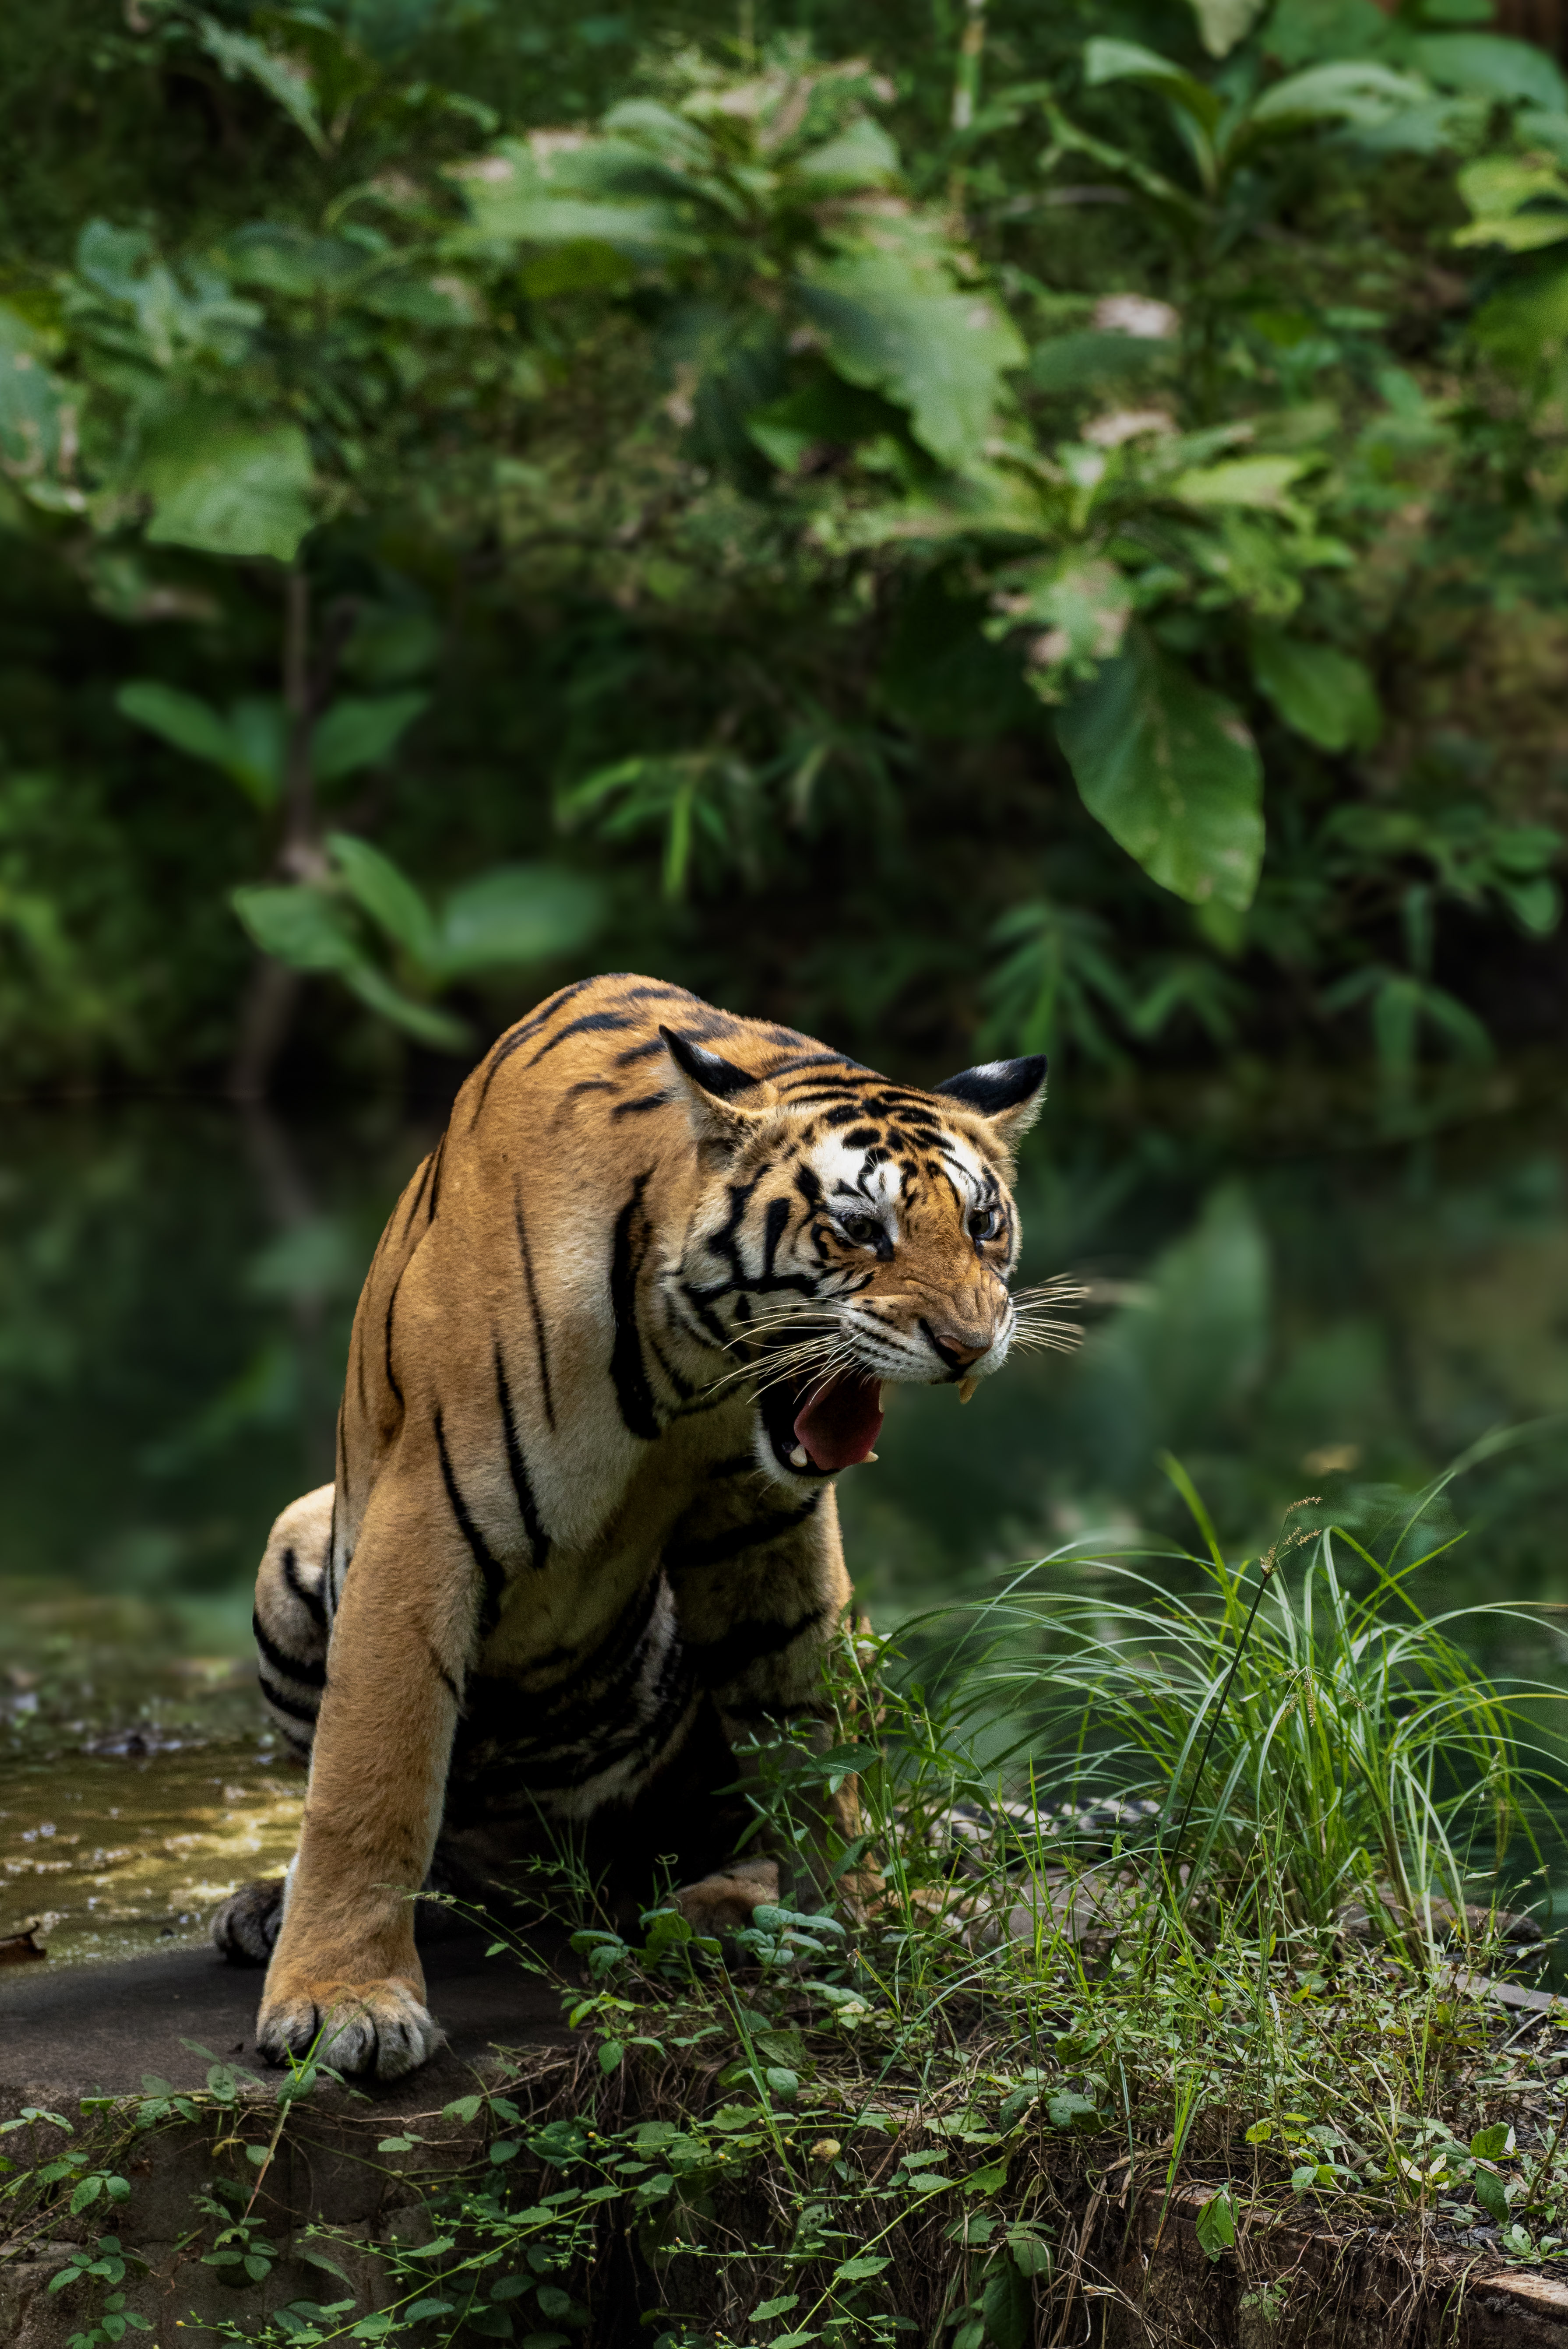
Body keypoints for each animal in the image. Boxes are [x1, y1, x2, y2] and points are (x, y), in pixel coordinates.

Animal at [211, 974, 1052, 2080]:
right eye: (859, 1230)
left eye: (985, 1225)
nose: (968, 1341)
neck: (688, 1372)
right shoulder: (423, 1515)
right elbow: (372, 1775)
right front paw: (341, 2002)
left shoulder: (764, 1521)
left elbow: (806, 1735)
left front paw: (855, 1911)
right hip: (297, 1537)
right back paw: (272, 1905)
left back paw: (723, 1903)